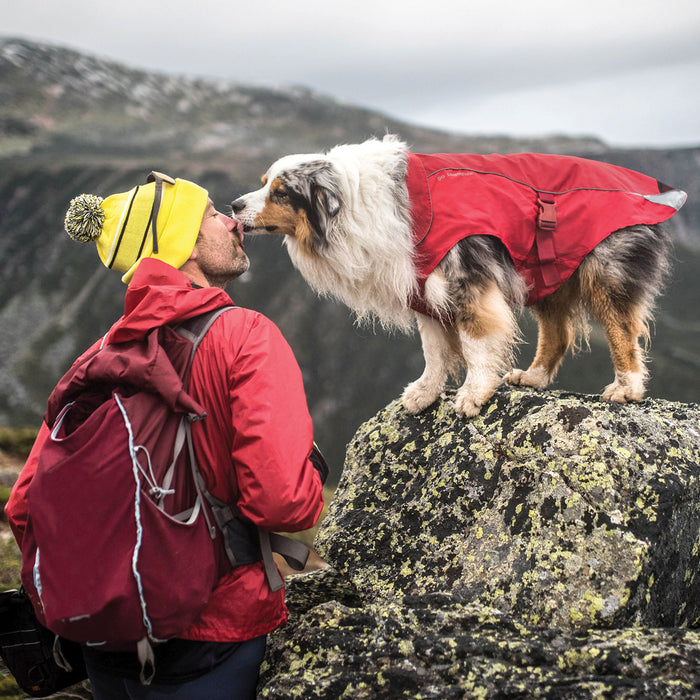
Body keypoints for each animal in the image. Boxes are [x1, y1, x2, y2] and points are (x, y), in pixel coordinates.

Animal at [230, 137, 684, 416]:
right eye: (263, 183)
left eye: (281, 192)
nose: (233, 205)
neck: (356, 206)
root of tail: (653, 187)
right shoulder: (423, 290)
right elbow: (434, 351)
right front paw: (424, 392)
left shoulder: (467, 280)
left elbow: (476, 342)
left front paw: (472, 393)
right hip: (545, 273)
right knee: (558, 332)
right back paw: (533, 376)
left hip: (604, 273)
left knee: (621, 329)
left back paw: (627, 387)